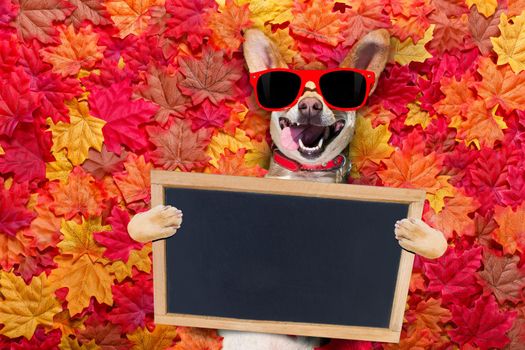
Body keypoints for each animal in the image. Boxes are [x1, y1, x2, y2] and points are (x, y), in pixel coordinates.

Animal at [127, 29, 446, 350]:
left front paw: (418, 234)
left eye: (334, 94)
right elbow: (134, 228)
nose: (310, 106)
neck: (306, 176)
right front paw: (158, 219)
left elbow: (438, 245)